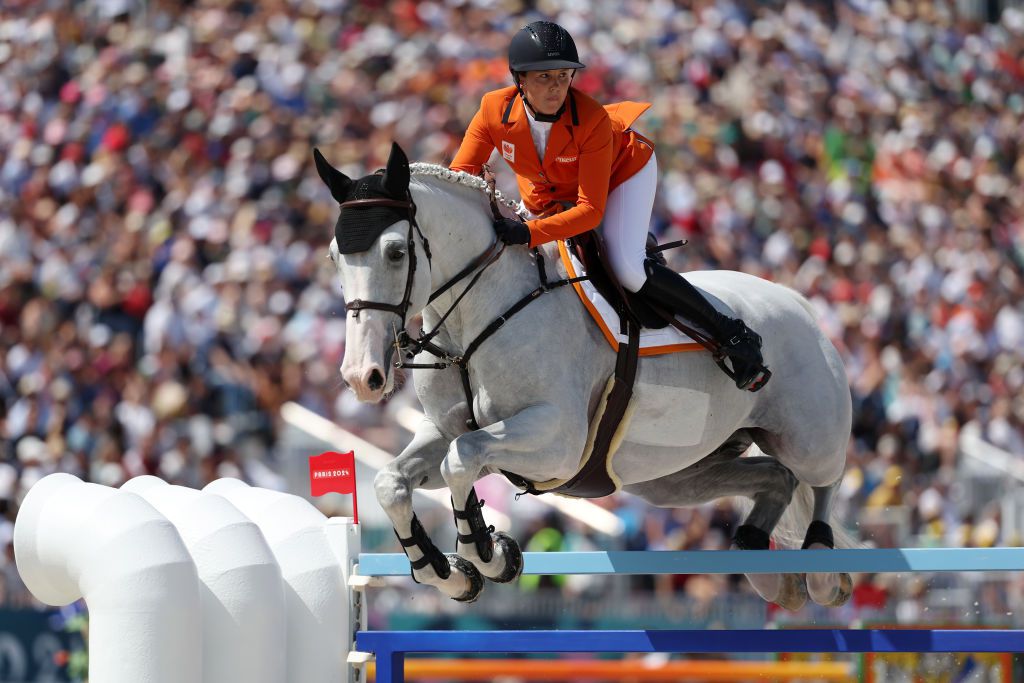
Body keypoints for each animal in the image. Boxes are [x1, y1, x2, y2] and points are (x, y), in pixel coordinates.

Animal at [313, 143, 856, 610]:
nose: (362, 376)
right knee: (775, 478)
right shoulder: (444, 429)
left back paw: (822, 570)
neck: (478, 317)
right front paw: (452, 573)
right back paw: (766, 570)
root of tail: (800, 302)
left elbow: (461, 461)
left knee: (823, 478)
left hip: (806, 436)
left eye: (395, 252)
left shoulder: (556, 440)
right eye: (335, 255)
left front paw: (488, 555)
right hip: (673, 476)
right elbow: (393, 480)